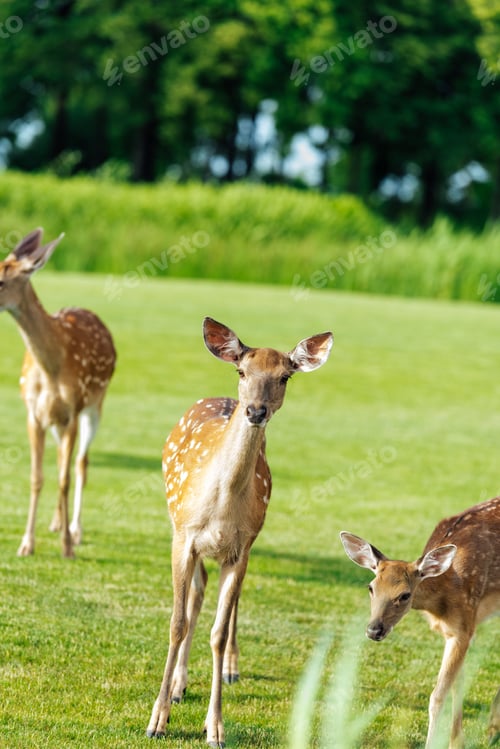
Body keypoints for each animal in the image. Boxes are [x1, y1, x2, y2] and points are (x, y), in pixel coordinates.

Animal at [0, 228, 116, 558]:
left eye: (1, 281)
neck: (51, 367)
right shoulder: (33, 413)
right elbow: (37, 477)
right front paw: (26, 543)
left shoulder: (74, 410)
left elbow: (65, 477)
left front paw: (66, 545)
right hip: (57, 421)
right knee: (62, 460)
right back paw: (55, 522)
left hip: (94, 406)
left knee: (80, 464)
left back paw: (75, 530)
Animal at [146, 317, 333, 746]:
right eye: (242, 372)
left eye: (284, 376)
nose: (256, 410)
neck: (222, 505)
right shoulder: (183, 537)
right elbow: (177, 623)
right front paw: (157, 719)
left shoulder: (240, 547)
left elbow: (216, 631)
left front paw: (215, 727)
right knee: (196, 596)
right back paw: (178, 686)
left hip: (246, 545)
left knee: (227, 605)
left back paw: (229, 668)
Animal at [340, 495, 500, 749]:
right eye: (371, 587)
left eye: (405, 595)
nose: (374, 630)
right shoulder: (457, 629)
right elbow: (458, 684)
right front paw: (457, 741)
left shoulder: (464, 623)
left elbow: (437, 696)